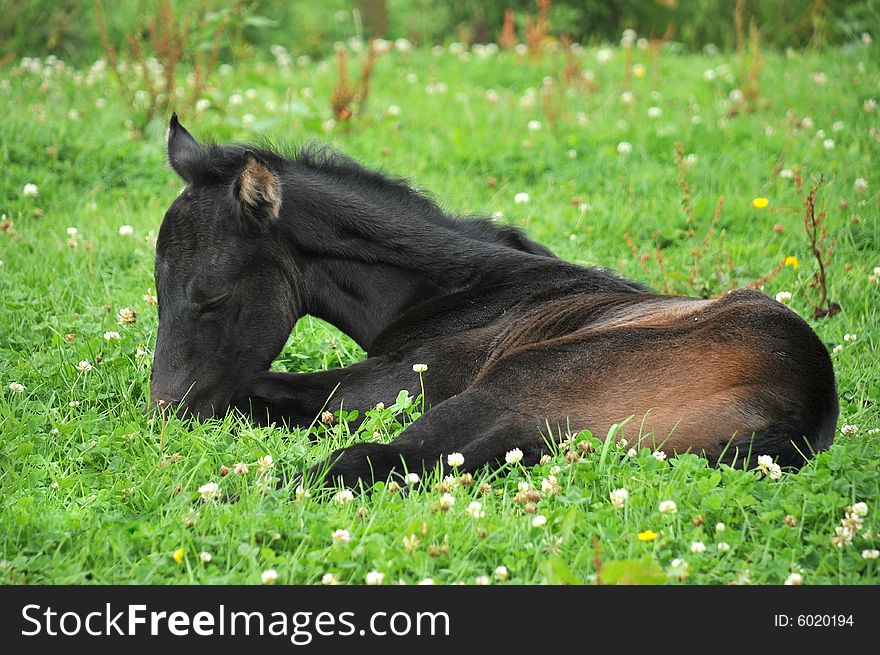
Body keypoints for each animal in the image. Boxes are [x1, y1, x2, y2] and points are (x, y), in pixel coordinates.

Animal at [151, 115, 840, 490]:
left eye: (210, 296)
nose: (167, 413)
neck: (465, 289)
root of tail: (801, 408)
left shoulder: (397, 382)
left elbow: (264, 391)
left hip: (512, 385)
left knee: (369, 460)